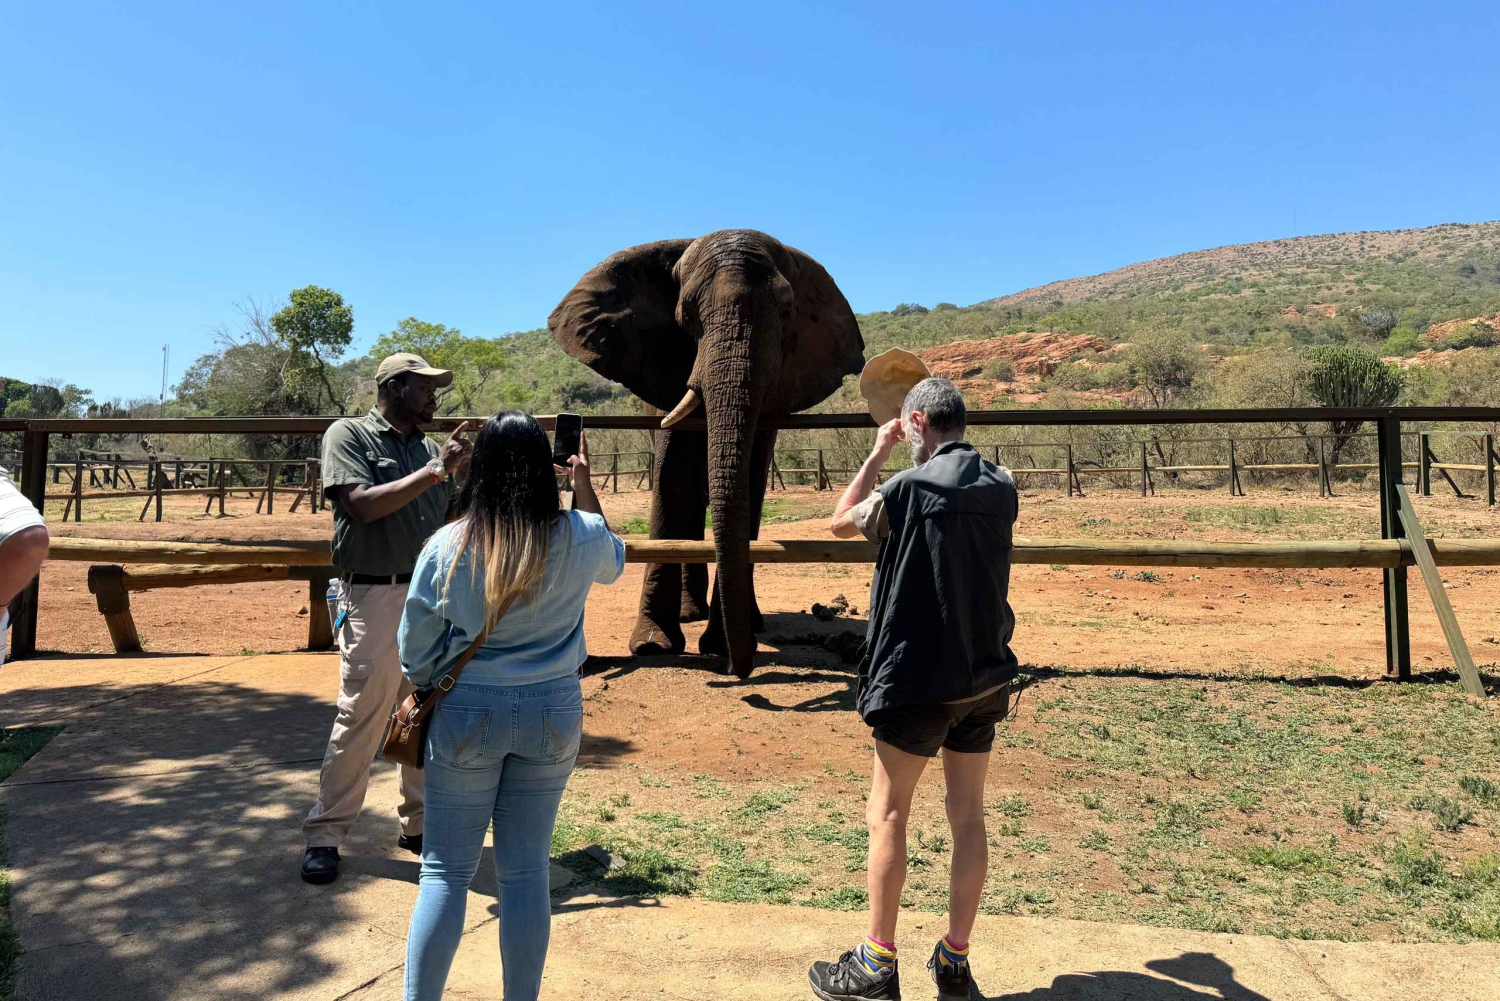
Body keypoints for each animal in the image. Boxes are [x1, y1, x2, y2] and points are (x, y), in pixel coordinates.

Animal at [548, 230, 864, 678]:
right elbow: (672, 479)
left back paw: (748, 622)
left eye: (787, 313)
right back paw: (689, 616)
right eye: (686, 318)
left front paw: (718, 645)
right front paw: (652, 647)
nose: (740, 668)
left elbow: (749, 485)